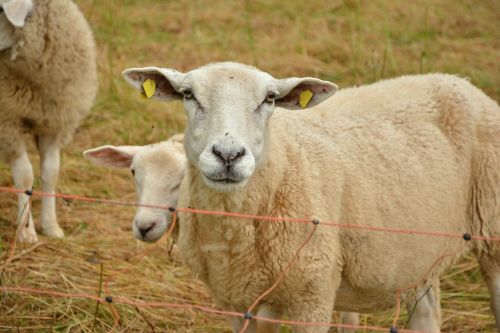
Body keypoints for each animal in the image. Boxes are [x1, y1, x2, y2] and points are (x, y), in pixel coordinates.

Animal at [0, 0, 97, 241]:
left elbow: (51, 173)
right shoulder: (8, 126)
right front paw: (26, 232)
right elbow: (25, 176)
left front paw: (51, 227)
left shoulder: (54, 125)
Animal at [122, 61, 500, 330]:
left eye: (269, 99)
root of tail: (456, 79)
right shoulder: (238, 302)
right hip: (419, 255)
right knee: (426, 314)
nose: (228, 155)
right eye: (188, 94)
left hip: (492, 231)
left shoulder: (312, 297)